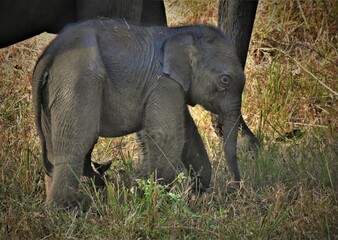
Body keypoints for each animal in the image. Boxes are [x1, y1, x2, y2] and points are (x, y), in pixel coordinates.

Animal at [33, 18, 251, 207]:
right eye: (225, 80)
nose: (236, 190)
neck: (179, 32)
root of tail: (49, 53)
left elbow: (188, 133)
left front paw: (197, 193)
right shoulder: (163, 83)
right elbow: (167, 135)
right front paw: (146, 194)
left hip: (53, 92)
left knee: (52, 151)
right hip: (76, 82)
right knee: (75, 144)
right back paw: (63, 211)